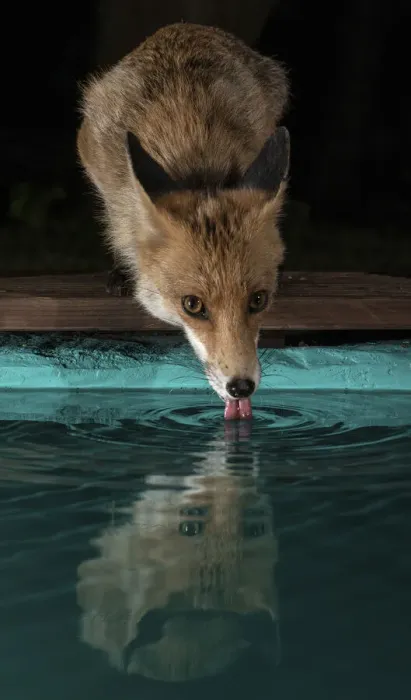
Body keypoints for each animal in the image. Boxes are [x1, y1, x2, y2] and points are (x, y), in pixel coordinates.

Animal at [77, 23, 290, 419]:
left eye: (258, 300)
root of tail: (185, 27)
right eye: (192, 305)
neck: (194, 154)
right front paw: (123, 267)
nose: (241, 387)